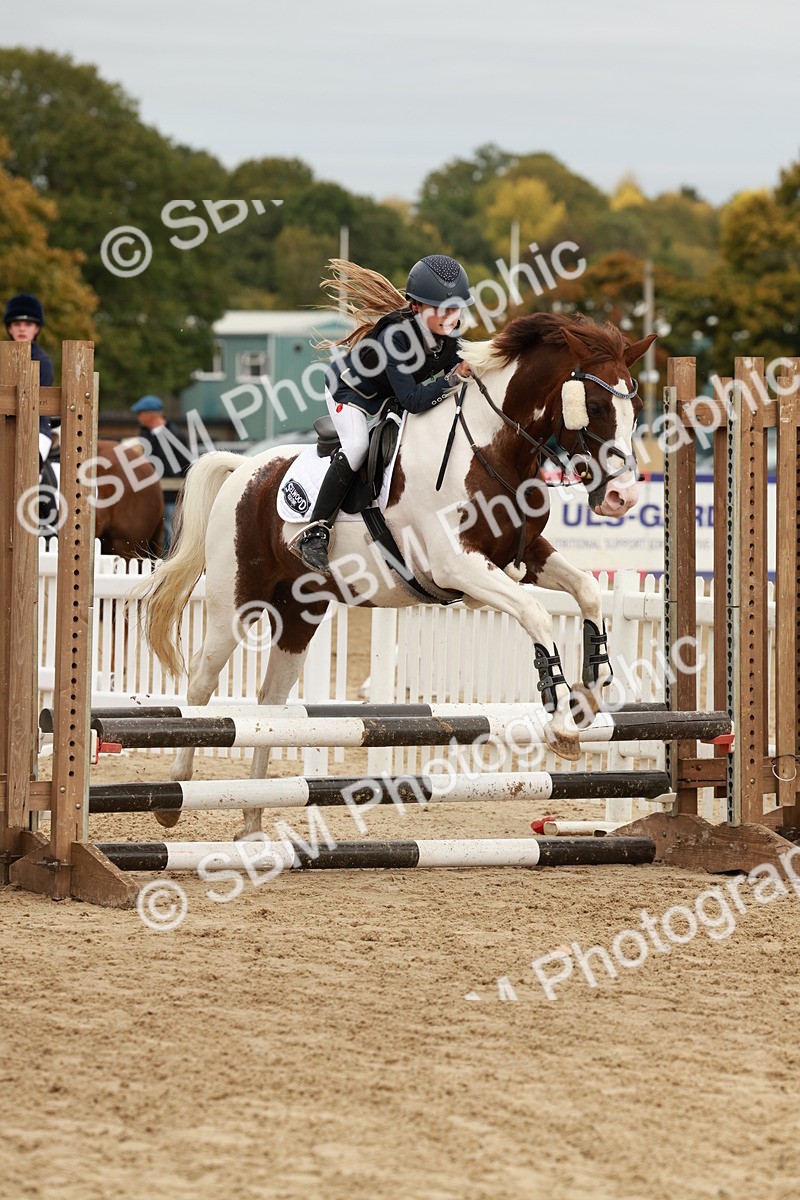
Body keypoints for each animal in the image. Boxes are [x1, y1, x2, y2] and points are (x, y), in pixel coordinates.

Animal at [138, 312, 655, 833]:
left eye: (635, 405)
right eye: (594, 404)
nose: (623, 498)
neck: (494, 446)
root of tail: (245, 466)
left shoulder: (527, 555)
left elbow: (588, 590)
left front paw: (592, 690)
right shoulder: (459, 565)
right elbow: (536, 614)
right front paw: (563, 721)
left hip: (299, 610)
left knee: (271, 703)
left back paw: (252, 816)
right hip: (237, 603)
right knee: (202, 679)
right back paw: (174, 796)